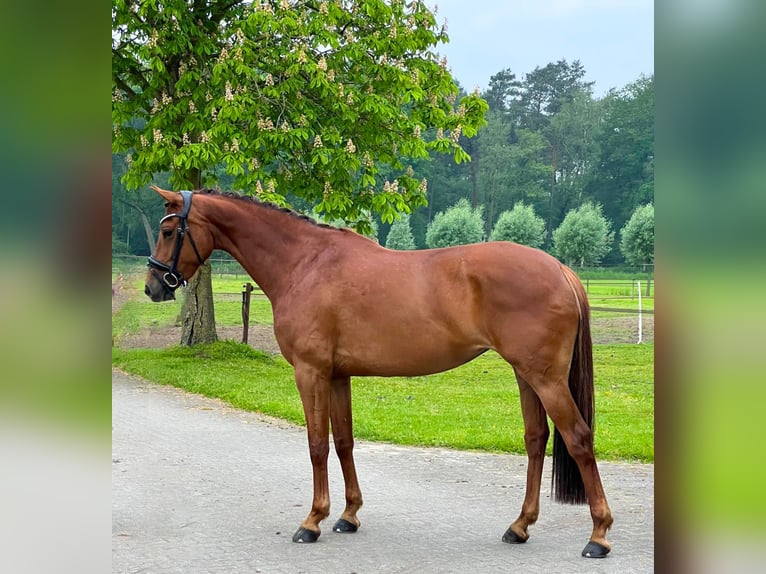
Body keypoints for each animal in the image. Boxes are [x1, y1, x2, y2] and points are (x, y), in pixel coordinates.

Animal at [144, 188, 616, 560]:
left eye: (169, 231)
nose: (153, 287)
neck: (305, 263)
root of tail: (561, 270)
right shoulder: (337, 376)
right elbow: (343, 441)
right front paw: (348, 515)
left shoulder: (310, 373)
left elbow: (316, 444)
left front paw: (312, 521)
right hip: (525, 374)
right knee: (536, 440)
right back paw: (519, 526)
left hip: (546, 378)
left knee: (578, 437)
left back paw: (598, 536)